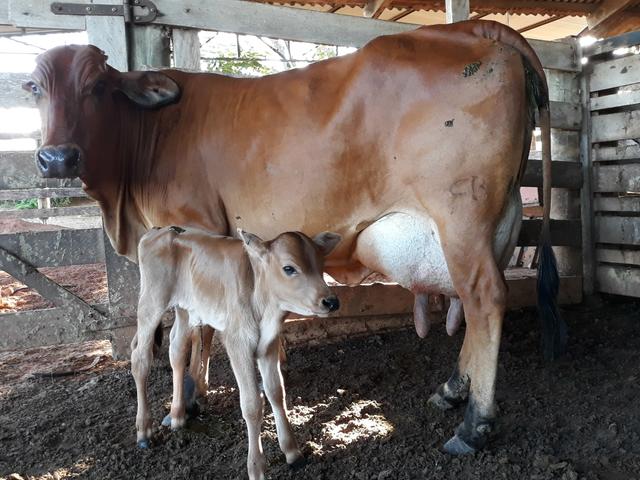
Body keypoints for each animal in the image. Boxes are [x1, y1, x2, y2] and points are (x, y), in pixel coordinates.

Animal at [132, 226, 340, 479]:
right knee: (140, 359)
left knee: (177, 351)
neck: (265, 306)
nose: (331, 301)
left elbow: (276, 392)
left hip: (184, 308)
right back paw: (144, 431)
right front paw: (256, 467)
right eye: (289, 268)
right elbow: (252, 404)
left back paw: (178, 415)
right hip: (151, 302)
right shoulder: (237, 342)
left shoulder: (269, 345)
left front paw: (292, 452)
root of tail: (159, 230)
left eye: (320, 264)